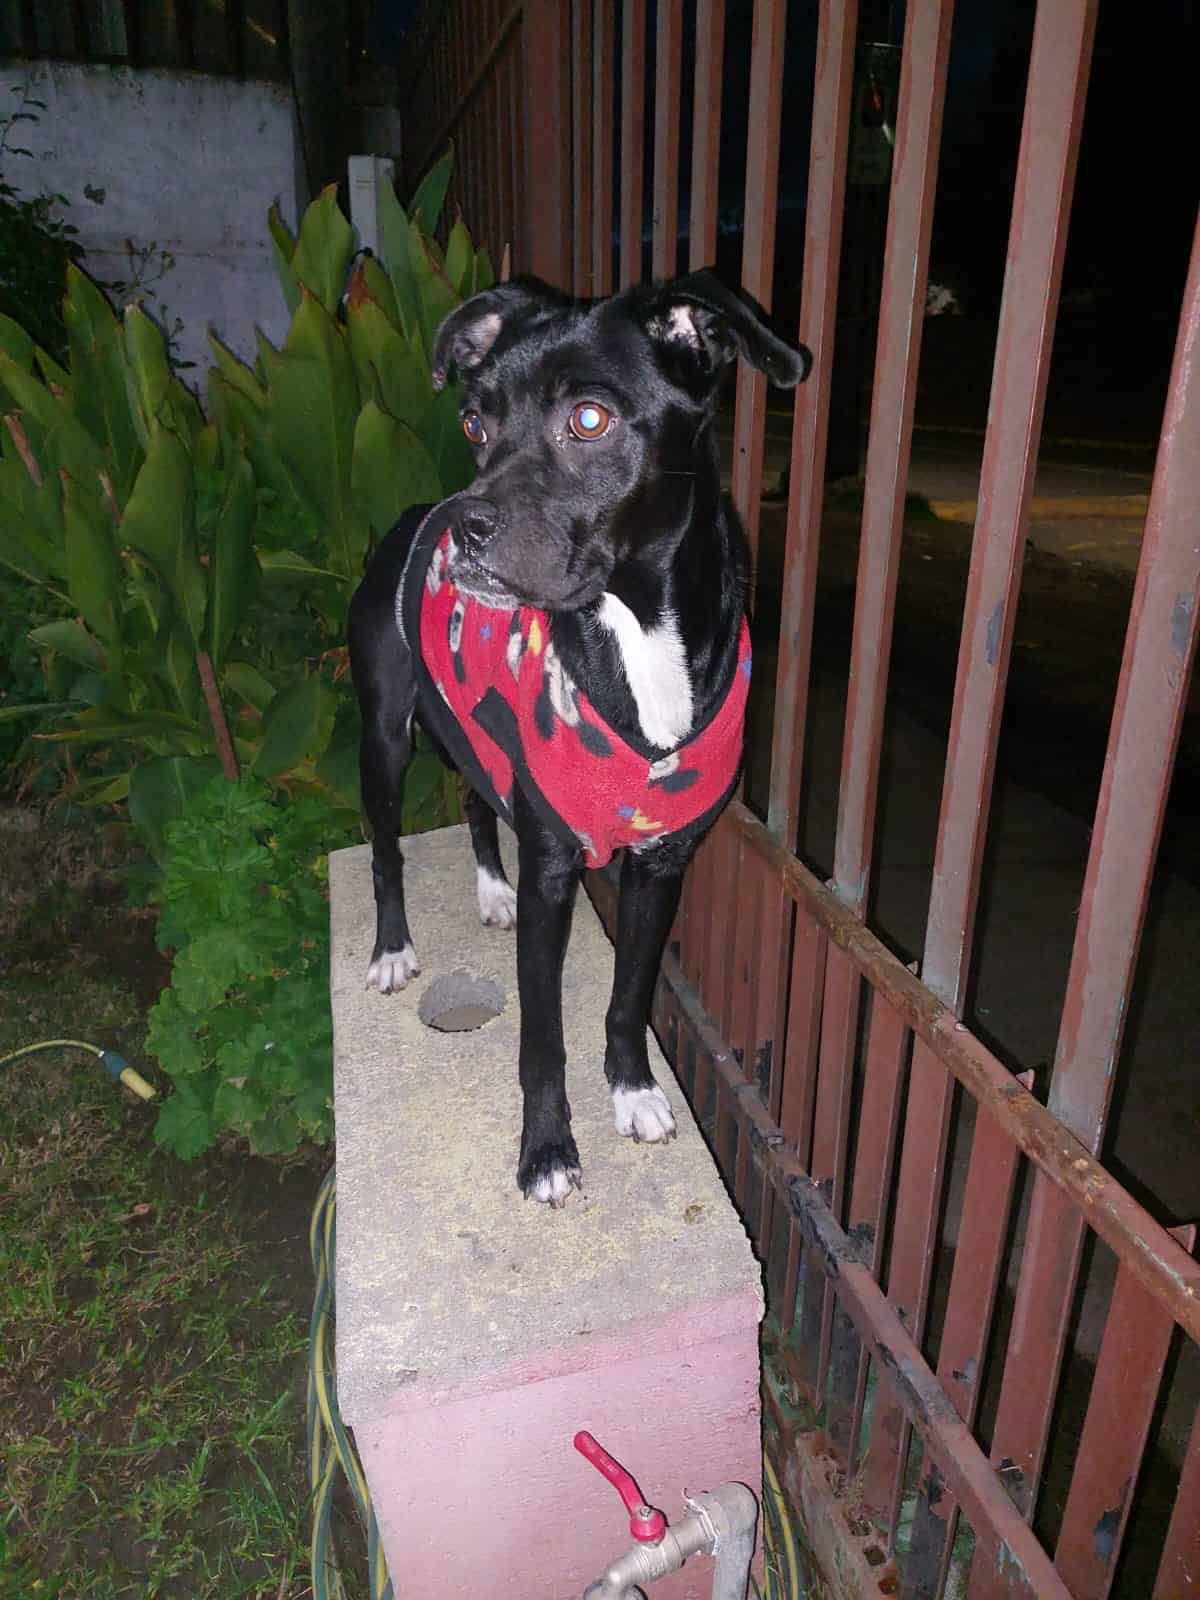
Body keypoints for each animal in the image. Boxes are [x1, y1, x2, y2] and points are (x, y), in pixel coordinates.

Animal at [350, 272, 819, 1203]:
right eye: (475, 424)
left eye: (590, 419)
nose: (463, 528)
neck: (635, 638)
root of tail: (405, 522)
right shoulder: (554, 873)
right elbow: (541, 1039)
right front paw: (547, 1152)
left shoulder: (661, 865)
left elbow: (630, 996)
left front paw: (633, 1091)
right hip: (384, 739)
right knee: (386, 848)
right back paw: (392, 949)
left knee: (476, 794)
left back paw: (490, 888)